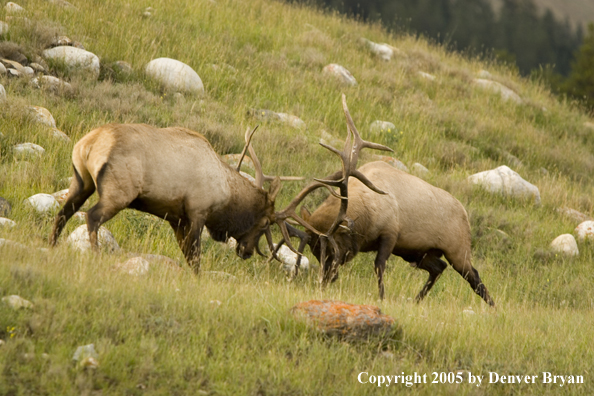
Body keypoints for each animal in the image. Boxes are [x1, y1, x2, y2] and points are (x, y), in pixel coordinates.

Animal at [49, 124, 294, 272]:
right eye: (265, 223)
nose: (248, 251)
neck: (225, 194)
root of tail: (88, 144)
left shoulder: (176, 219)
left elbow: (186, 254)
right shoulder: (197, 213)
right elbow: (195, 258)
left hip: (81, 182)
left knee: (63, 213)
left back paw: (51, 245)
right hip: (118, 193)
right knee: (92, 216)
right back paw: (96, 256)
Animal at [270, 93, 492, 306]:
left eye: (334, 249)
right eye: (314, 251)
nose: (326, 279)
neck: (367, 216)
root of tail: (465, 213)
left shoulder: (390, 233)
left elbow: (379, 266)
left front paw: (382, 298)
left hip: (458, 250)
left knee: (475, 278)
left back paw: (492, 306)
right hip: (418, 252)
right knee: (439, 267)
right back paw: (417, 301)